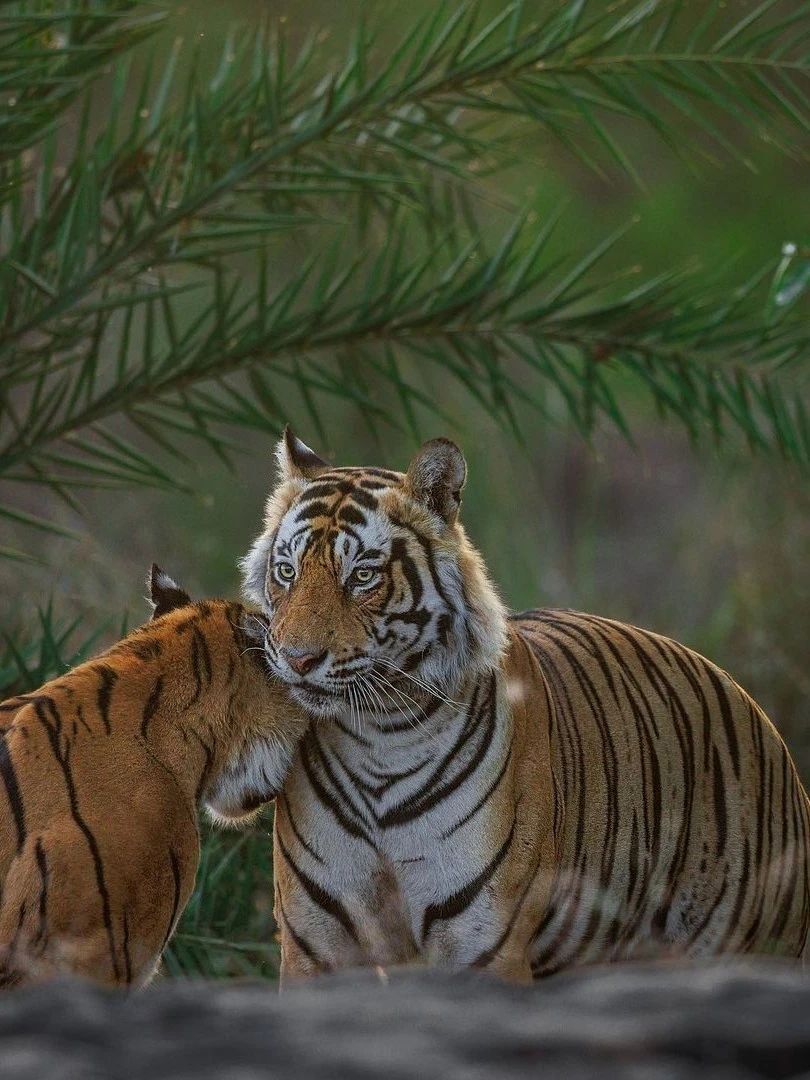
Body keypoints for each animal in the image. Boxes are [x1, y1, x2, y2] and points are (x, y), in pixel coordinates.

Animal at [240, 425, 810, 984]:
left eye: (362, 576)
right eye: (287, 571)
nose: (296, 658)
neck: (379, 735)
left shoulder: (485, 945)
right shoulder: (317, 945)